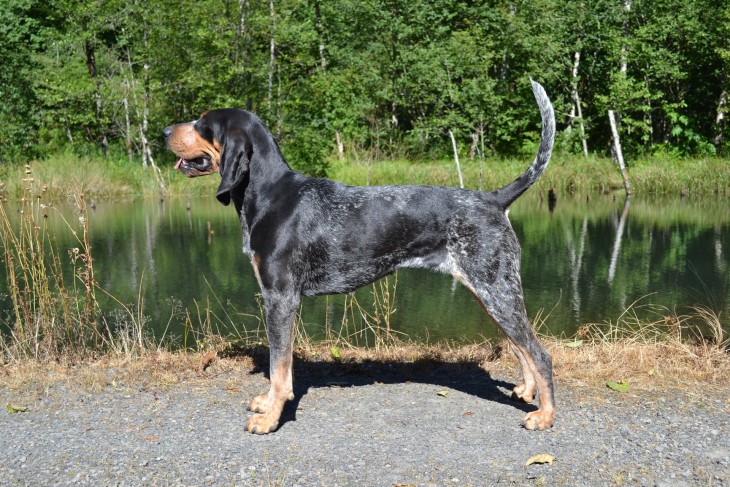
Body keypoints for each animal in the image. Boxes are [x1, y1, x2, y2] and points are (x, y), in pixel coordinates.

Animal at [164, 80, 552, 434]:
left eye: (203, 123)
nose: (165, 131)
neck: (269, 196)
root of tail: (494, 199)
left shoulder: (280, 298)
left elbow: (280, 367)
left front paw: (271, 417)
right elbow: (278, 368)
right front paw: (267, 403)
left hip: (495, 290)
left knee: (540, 353)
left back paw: (545, 416)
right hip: (489, 293)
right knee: (521, 347)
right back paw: (526, 390)